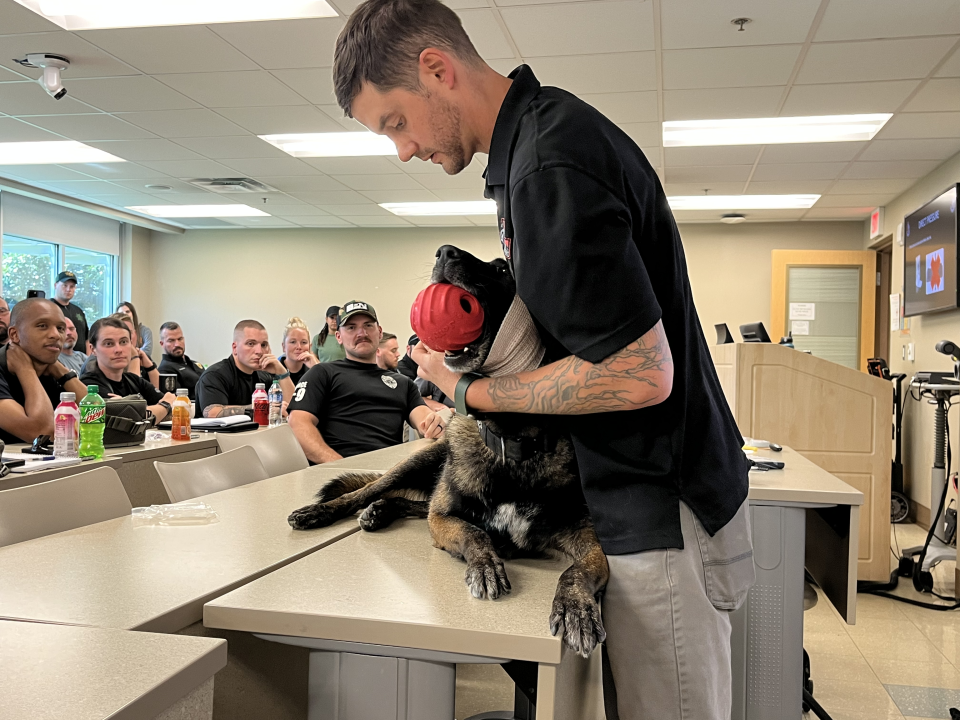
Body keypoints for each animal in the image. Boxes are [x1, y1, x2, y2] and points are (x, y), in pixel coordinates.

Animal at [288, 246, 612, 660]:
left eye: (502, 269)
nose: (445, 252)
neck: (509, 444)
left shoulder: (589, 537)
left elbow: (579, 569)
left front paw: (576, 606)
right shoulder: (446, 518)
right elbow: (474, 533)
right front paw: (486, 564)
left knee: (414, 504)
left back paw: (381, 512)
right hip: (416, 464)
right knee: (370, 491)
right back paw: (324, 511)